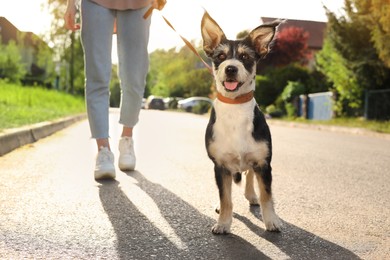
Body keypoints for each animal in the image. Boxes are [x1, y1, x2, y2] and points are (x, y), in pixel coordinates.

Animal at [201, 12, 284, 235]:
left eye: (246, 57)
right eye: (220, 57)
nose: (231, 68)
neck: (235, 107)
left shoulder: (264, 163)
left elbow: (267, 196)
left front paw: (271, 221)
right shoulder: (220, 165)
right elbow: (226, 197)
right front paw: (223, 223)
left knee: (249, 175)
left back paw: (251, 196)